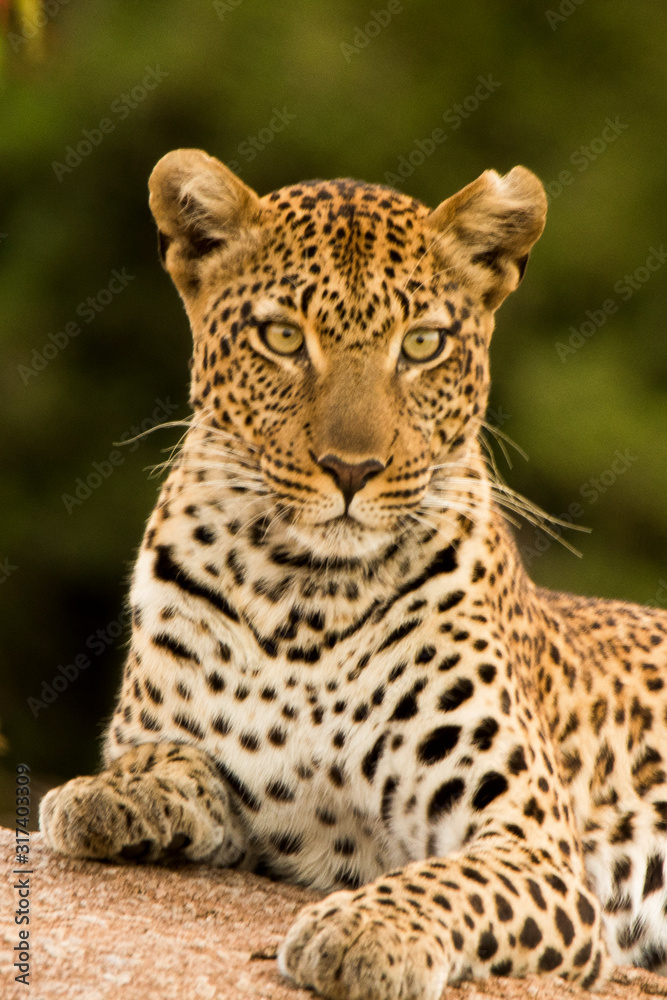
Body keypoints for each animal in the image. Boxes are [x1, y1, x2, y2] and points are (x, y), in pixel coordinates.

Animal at [40, 148, 667, 1000]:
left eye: (423, 345)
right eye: (281, 337)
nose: (350, 469)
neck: (303, 596)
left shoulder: (535, 847)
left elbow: (449, 881)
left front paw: (363, 930)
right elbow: (167, 757)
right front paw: (109, 794)